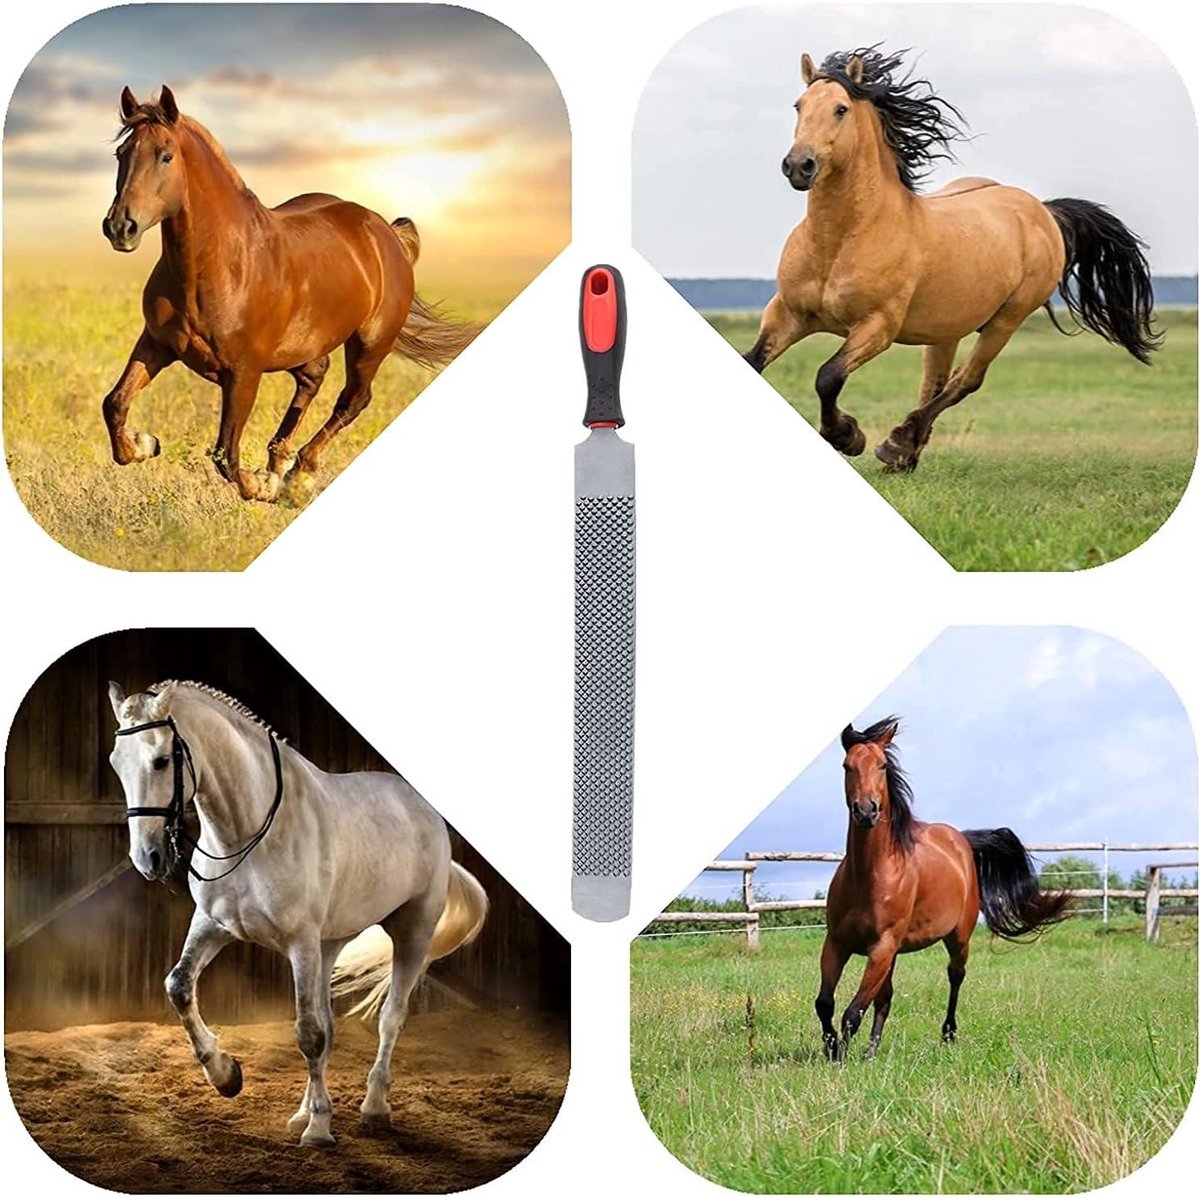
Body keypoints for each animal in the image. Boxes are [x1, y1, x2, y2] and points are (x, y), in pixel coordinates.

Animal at [101, 86, 477, 503]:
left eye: (165, 156)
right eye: (121, 154)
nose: (120, 227)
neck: (218, 266)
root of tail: (386, 234)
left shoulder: (244, 372)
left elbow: (225, 453)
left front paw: (262, 485)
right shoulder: (156, 344)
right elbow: (114, 403)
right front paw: (144, 444)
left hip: (369, 344)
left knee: (353, 400)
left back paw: (299, 473)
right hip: (303, 347)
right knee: (315, 376)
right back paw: (280, 461)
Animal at [107, 679, 488, 1146]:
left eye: (161, 761)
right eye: (116, 763)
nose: (148, 859)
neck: (249, 833)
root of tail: (425, 811)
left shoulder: (300, 943)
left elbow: (308, 1034)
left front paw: (319, 1130)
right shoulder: (214, 925)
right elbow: (178, 986)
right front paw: (226, 1076)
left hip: (410, 932)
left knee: (390, 1018)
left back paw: (373, 1107)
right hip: (329, 945)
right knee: (329, 1024)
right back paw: (302, 1112)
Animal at [744, 47, 1160, 471]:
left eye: (841, 109)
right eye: (799, 105)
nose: (799, 166)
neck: (841, 240)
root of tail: (1042, 211)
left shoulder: (877, 327)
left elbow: (828, 377)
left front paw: (848, 436)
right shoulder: (787, 313)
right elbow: (755, 362)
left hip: (1006, 321)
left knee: (965, 381)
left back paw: (897, 444)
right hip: (946, 329)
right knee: (935, 383)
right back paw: (904, 455)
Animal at [816, 717, 1071, 1061]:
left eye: (882, 765)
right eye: (847, 766)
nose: (866, 811)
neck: (869, 875)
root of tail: (961, 839)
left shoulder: (881, 947)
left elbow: (852, 1013)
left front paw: (840, 1059)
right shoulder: (838, 943)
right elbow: (825, 1004)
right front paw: (833, 1050)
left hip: (958, 938)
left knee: (955, 976)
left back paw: (948, 1034)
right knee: (885, 997)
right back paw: (872, 1051)